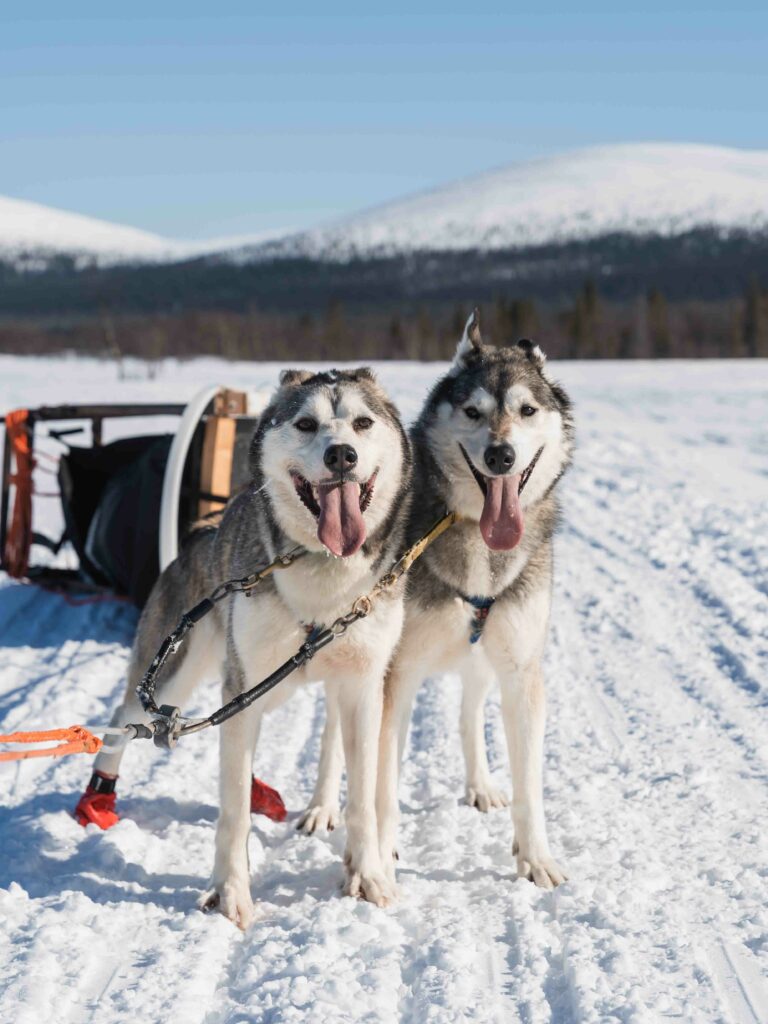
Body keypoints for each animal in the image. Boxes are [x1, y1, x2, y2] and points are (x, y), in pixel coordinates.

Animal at [77, 370, 411, 929]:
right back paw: (97, 797)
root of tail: (202, 533)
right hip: (183, 670)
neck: (323, 574)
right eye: (306, 424)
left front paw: (368, 878)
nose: (342, 454)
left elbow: (363, 796)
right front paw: (230, 893)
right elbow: (231, 813)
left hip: (270, 686)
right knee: (122, 724)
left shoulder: (362, 687)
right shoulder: (243, 682)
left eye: (363, 423)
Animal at [376, 311, 573, 888]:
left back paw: (480, 785)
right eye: (472, 411)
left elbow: (530, 784)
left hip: (485, 658)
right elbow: (381, 782)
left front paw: (536, 859)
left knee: (469, 713)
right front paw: (380, 854)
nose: (500, 454)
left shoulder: (521, 671)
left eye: (527, 410)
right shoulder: (395, 673)